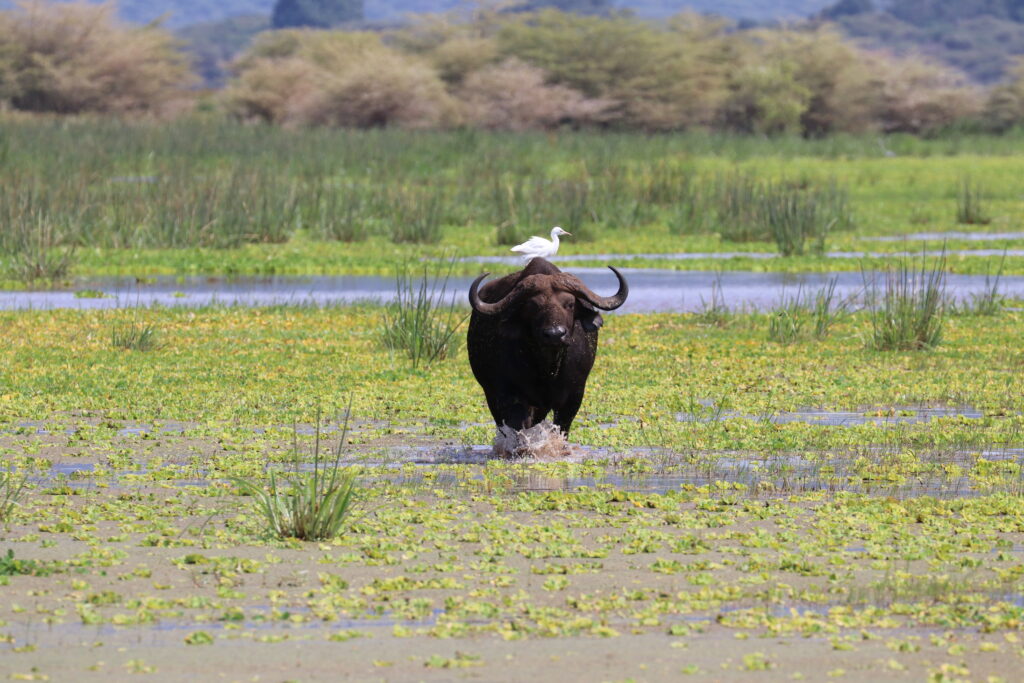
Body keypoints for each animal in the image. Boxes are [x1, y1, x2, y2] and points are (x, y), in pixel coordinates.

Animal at [464, 259, 622, 436]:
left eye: (570, 304)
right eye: (532, 305)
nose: (555, 334)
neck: (546, 367)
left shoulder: (573, 397)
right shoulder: (511, 397)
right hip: (491, 394)